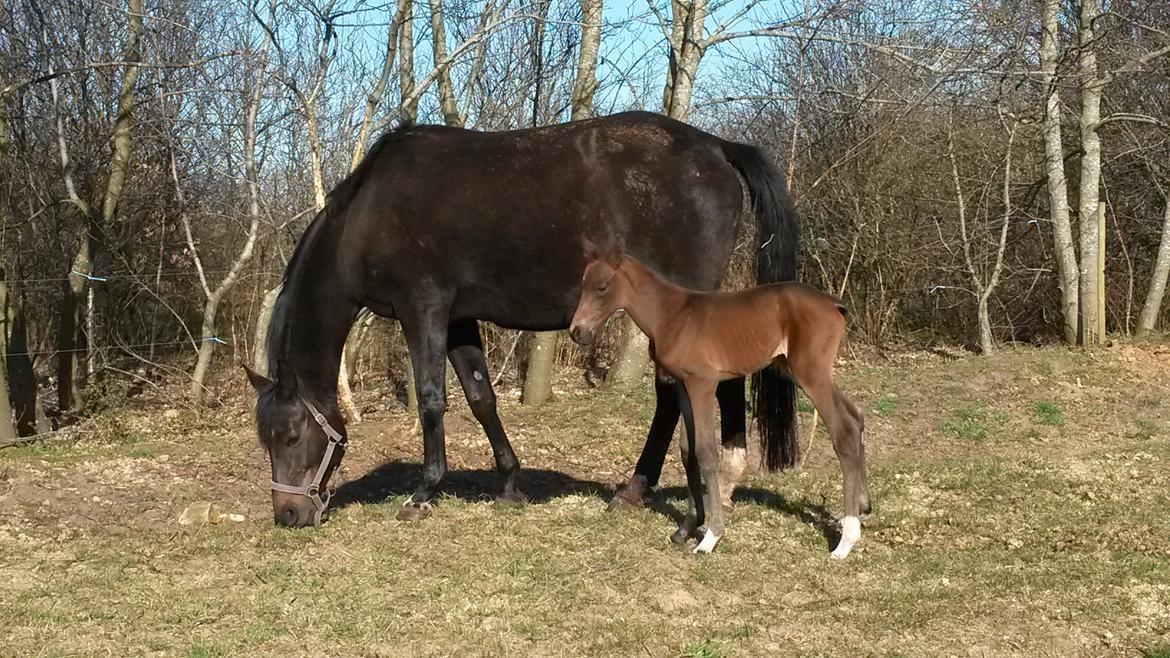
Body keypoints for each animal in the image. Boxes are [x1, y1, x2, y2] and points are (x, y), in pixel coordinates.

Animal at [568, 243, 870, 554]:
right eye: (583, 283)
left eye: (602, 287)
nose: (577, 332)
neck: (671, 315)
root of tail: (833, 303)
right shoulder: (683, 385)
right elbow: (687, 450)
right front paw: (687, 527)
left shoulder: (703, 383)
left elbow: (706, 451)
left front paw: (710, 536)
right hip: (801, 370)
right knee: (857, 415)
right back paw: (863, 506)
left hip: (811, 374)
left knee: (844, 432)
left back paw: (846, 541)